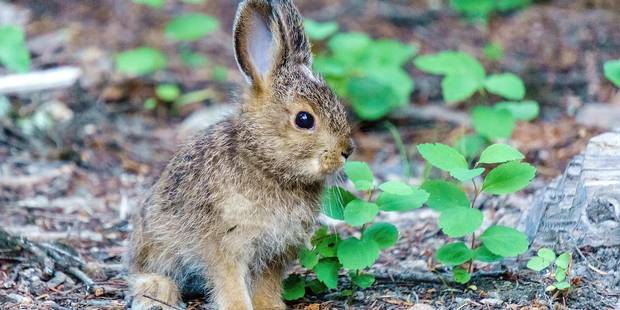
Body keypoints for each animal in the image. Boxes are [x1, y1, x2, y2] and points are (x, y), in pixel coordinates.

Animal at [128, 1, 352, 308]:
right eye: (304, 119)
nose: (347, 151)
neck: (262, 160)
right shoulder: (225, 244)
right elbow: (231, 284)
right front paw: (239, 306)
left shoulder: (274, 252)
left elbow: (266, 286)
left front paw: (272, 306)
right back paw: (158, 292)